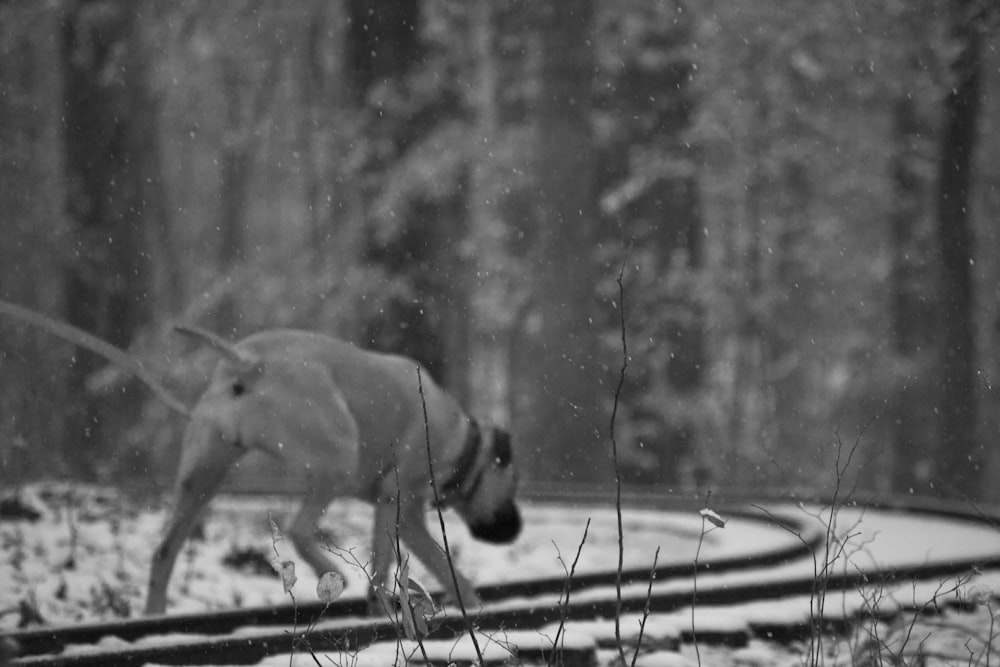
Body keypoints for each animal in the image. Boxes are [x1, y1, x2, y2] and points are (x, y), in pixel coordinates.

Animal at [146, 328, 524, 616]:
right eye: (513, 483)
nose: (515, 529)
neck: (464, 447)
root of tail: (251, 363)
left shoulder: (402, 514)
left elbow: (433, 563)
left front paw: (467, 604)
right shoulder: (397, 501)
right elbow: (397, 563)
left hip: (203, 476)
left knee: (164, 550)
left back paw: (155, 614)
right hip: (339, 459)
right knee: (299, 529)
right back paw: (331, 572)